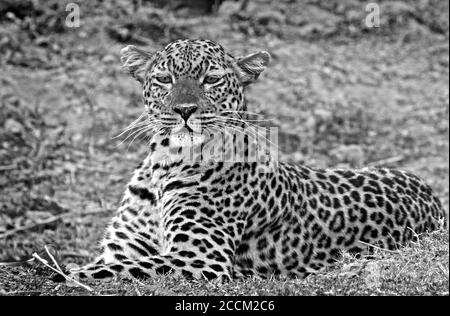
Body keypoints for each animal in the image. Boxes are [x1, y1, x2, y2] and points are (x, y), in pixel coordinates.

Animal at [65, 39, 444, 282]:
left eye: (211, 79)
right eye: (163, 79)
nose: (185, 110)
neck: (164, 164)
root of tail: (432, 195)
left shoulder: (201, 259)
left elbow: (110, 270)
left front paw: (68, 274)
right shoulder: (122, 248)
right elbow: (114, 263)